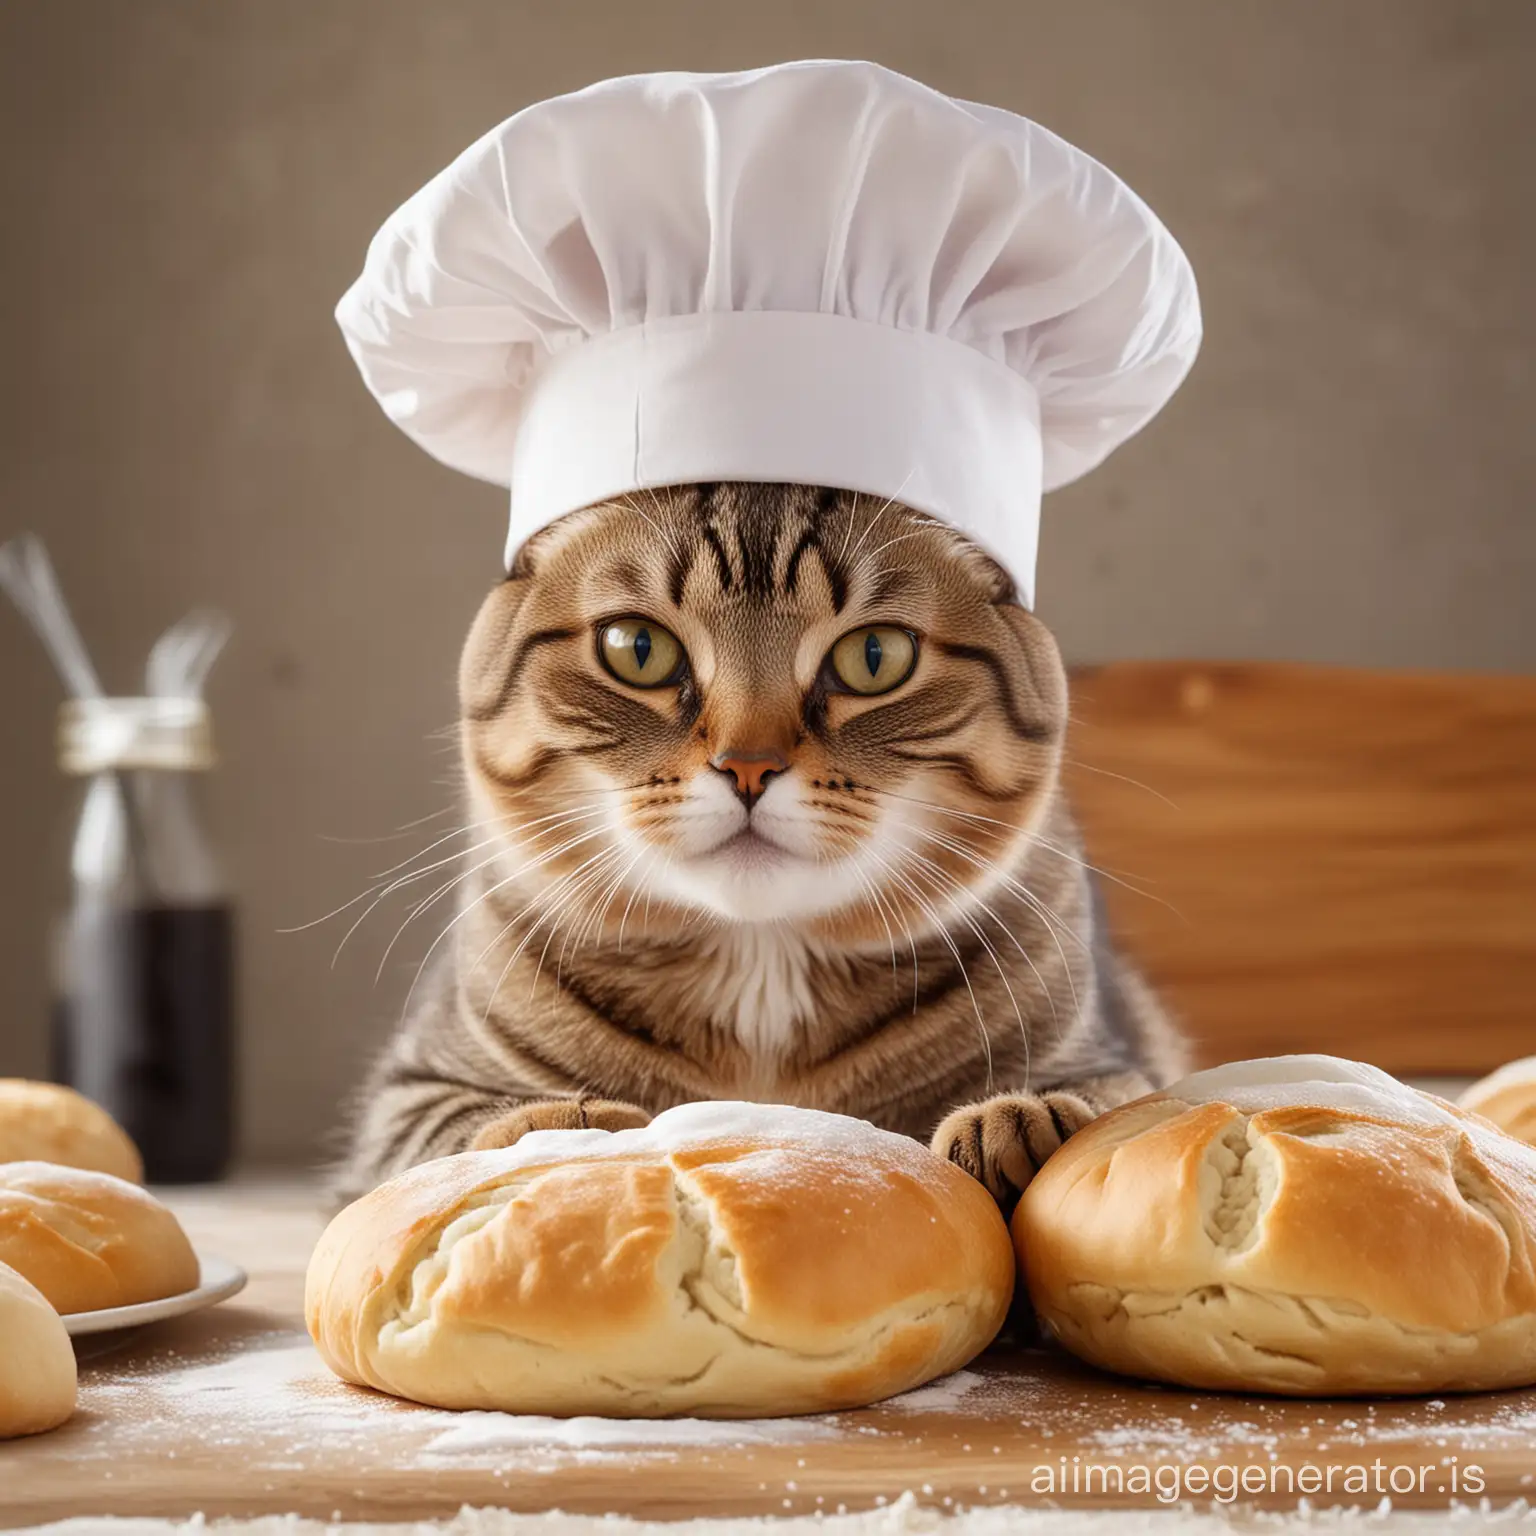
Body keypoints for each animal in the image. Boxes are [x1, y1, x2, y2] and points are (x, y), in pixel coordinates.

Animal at [339, 482, 1185, 1210]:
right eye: (636, 648)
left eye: (875, 657)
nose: (748, 766)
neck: (761, 965)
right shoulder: (408, 1091)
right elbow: (456, 1131)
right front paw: (564, 1128)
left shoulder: (1116, 1055)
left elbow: (1116, 1100)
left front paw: (1019, 1124)